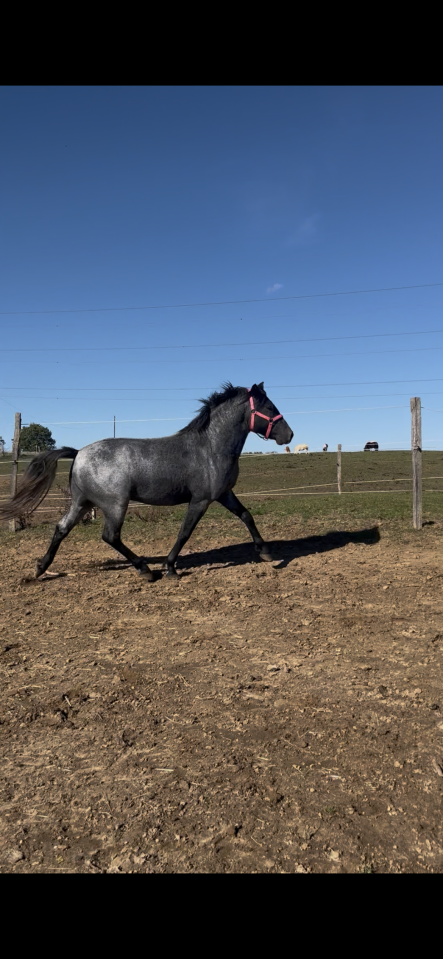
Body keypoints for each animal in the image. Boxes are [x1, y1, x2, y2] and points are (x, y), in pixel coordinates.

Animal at [0, 382, 293, 581]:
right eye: (269, 407)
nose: (289, 435)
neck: (210, 447)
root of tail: (79, 452)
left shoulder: (224, 494)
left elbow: (246, 516)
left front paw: (265, 552)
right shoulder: (201, 500)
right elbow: (185, 532)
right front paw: (171, 567)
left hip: (83, 503)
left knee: (62, 528)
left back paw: (40, 569)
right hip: (115, 505)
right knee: (110, 536)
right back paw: (146, 570)